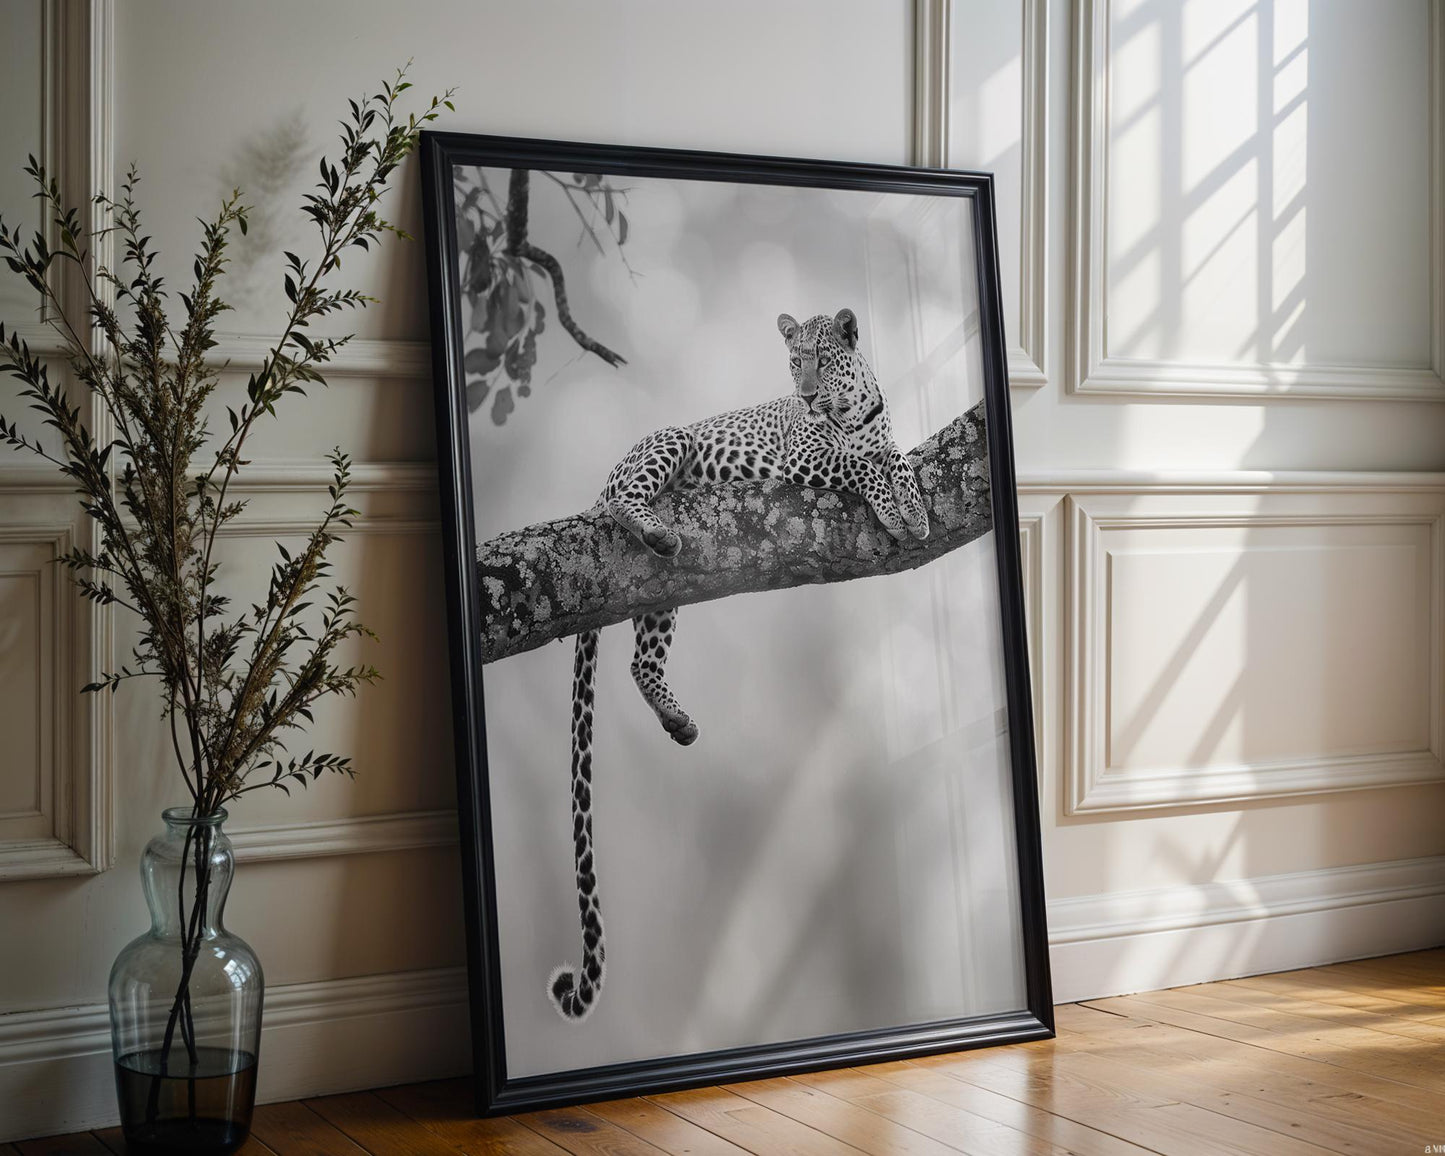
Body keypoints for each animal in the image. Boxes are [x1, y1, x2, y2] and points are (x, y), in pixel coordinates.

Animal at [546, 308, 929, 1021]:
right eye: (794, 361)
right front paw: (897, 507)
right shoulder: (809, 454)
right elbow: (863, 463)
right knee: (626, 502)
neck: (852, 406)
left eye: (822, 359)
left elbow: (890, 454)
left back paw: (678, 720)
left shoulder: (877, 434)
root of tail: (600, 476)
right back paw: (648, 523)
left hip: (659, 596)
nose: (806, 393)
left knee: (641, 661)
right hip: (666, 443)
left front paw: (911, 504)